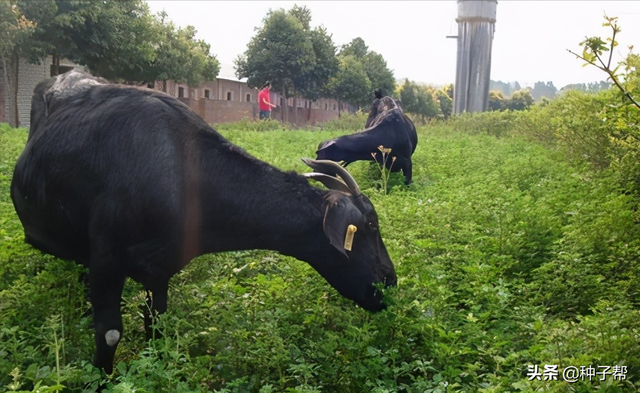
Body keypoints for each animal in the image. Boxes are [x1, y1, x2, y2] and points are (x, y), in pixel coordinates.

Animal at [11, 71, 396, 374]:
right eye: (371, 226)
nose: (390, 281)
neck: (181, 176)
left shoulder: (158, 270)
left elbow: (157, 325)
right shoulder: (107, 259)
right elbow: (109, 333)